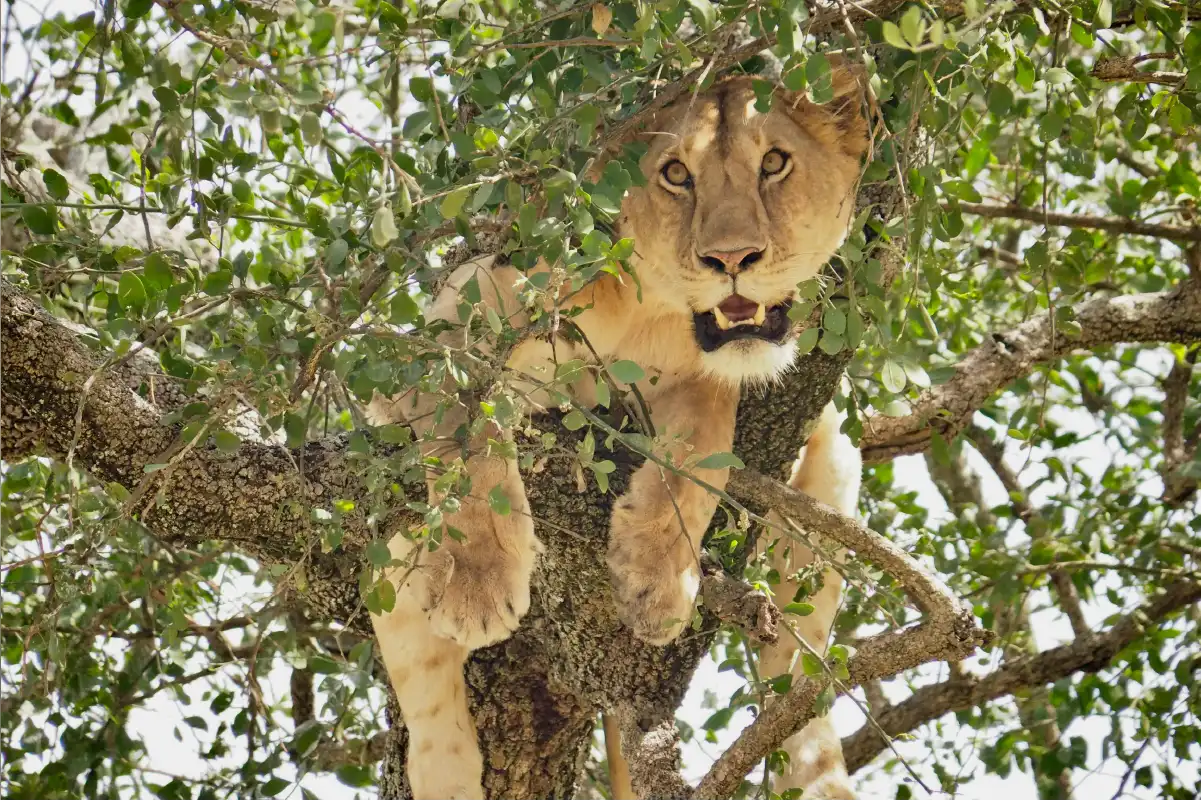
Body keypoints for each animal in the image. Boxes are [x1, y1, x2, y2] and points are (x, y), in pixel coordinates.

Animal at [368, 61, 870, 800]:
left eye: (774, 163)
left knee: (796, 671)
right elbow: (471, 431)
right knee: (419, 674)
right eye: (676, 174)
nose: (732, 259)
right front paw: (478, 581)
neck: (649, 306)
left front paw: (654, 582)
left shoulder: (701, 381)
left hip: (835, 460)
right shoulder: (448, 332)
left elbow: (703, 454)